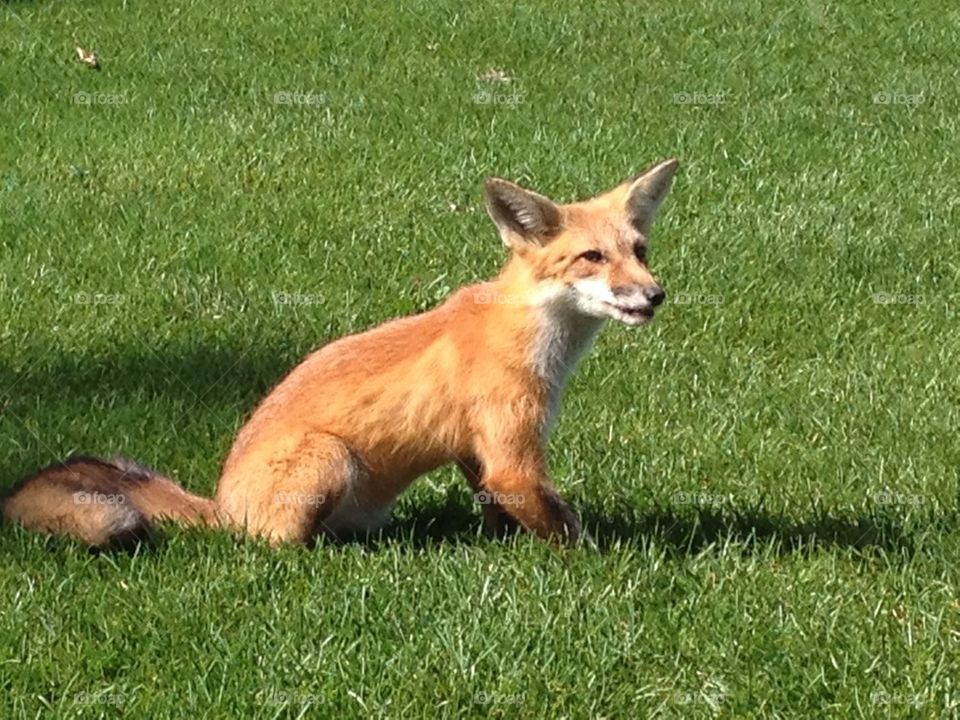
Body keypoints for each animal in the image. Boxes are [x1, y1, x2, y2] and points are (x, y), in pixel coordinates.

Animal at [2, 158, 678, 549]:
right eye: (592, 258)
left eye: (640, 250)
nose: (655, 295)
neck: (534, 335)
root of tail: (222, 505)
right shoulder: (513, 453)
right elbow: (560, 525)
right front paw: (589, 564)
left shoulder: (479, 447)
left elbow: (500, 507)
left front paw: (506, 548)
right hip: (330, 459)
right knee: (273, 546)